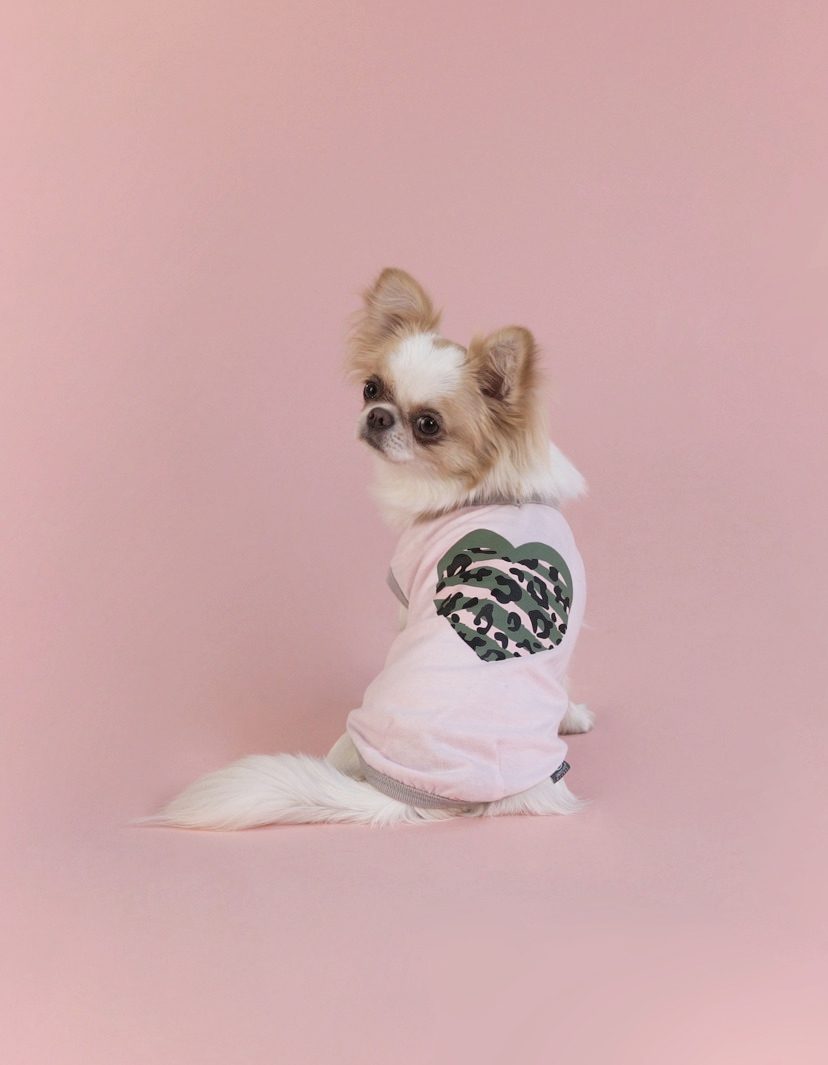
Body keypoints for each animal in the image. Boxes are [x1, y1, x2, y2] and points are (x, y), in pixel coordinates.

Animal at [148, 268, 593, 829]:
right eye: (371, 389)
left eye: (429, 425)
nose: (379, 417)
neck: (482, 487)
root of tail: (405, 799)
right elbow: (567, 682)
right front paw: (574, 715)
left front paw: (573, 715)